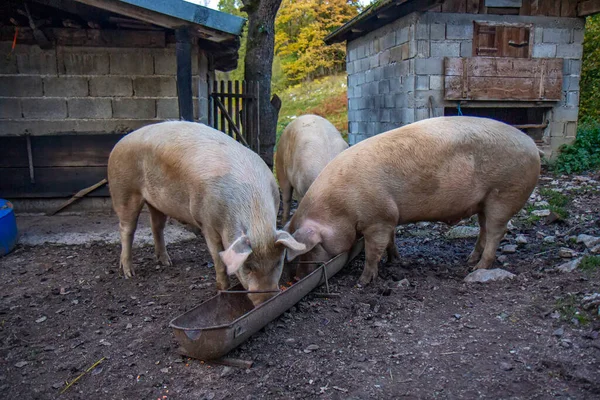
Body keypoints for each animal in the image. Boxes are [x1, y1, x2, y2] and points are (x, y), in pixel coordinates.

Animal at [106, 120, 304, 304]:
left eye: (278, 263)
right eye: (247, 267)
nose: (265, 300)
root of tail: (120, 142)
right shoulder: (206, 222)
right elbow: (218, 258)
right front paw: (222, 290)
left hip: (156, 202)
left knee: (157, 226)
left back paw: (167, 262)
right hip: (123, 191)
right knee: (127, 229)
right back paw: (129, 273)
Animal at [284, 115, 540, 284]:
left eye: (311, 249)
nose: (296, 277)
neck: (340, 206)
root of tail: (532, 145)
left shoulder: (377, 219)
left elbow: (373, 251)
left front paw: (363, 282)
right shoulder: (389, 217)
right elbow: (390, 242)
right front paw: (394, 261)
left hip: (505, 193)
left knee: (497, 231)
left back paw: (476, 268)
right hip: (484, 202)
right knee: (484, 229)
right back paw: (469, 261)